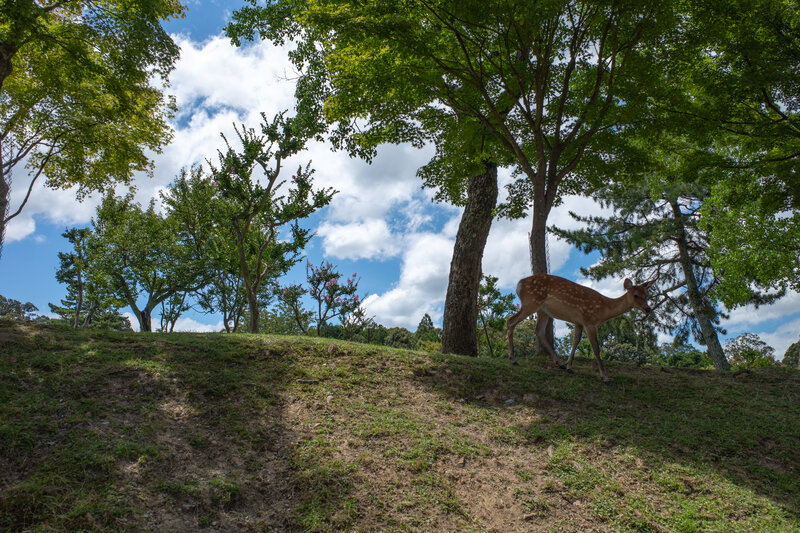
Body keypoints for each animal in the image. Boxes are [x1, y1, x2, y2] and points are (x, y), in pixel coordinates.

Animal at [506, 274, 655, 383]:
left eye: (647, 295)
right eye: (635, 295)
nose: (648, 309)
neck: (603, 310)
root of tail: (519, 284)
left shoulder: (578, 322)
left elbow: (576, 341)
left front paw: (569, 366)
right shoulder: (589, 321)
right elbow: (596, 348)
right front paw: (605, 377)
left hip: (543, 311)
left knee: (538, 331)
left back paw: (559, 363)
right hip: (531, 302)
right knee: (510, 321)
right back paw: (513, 359)